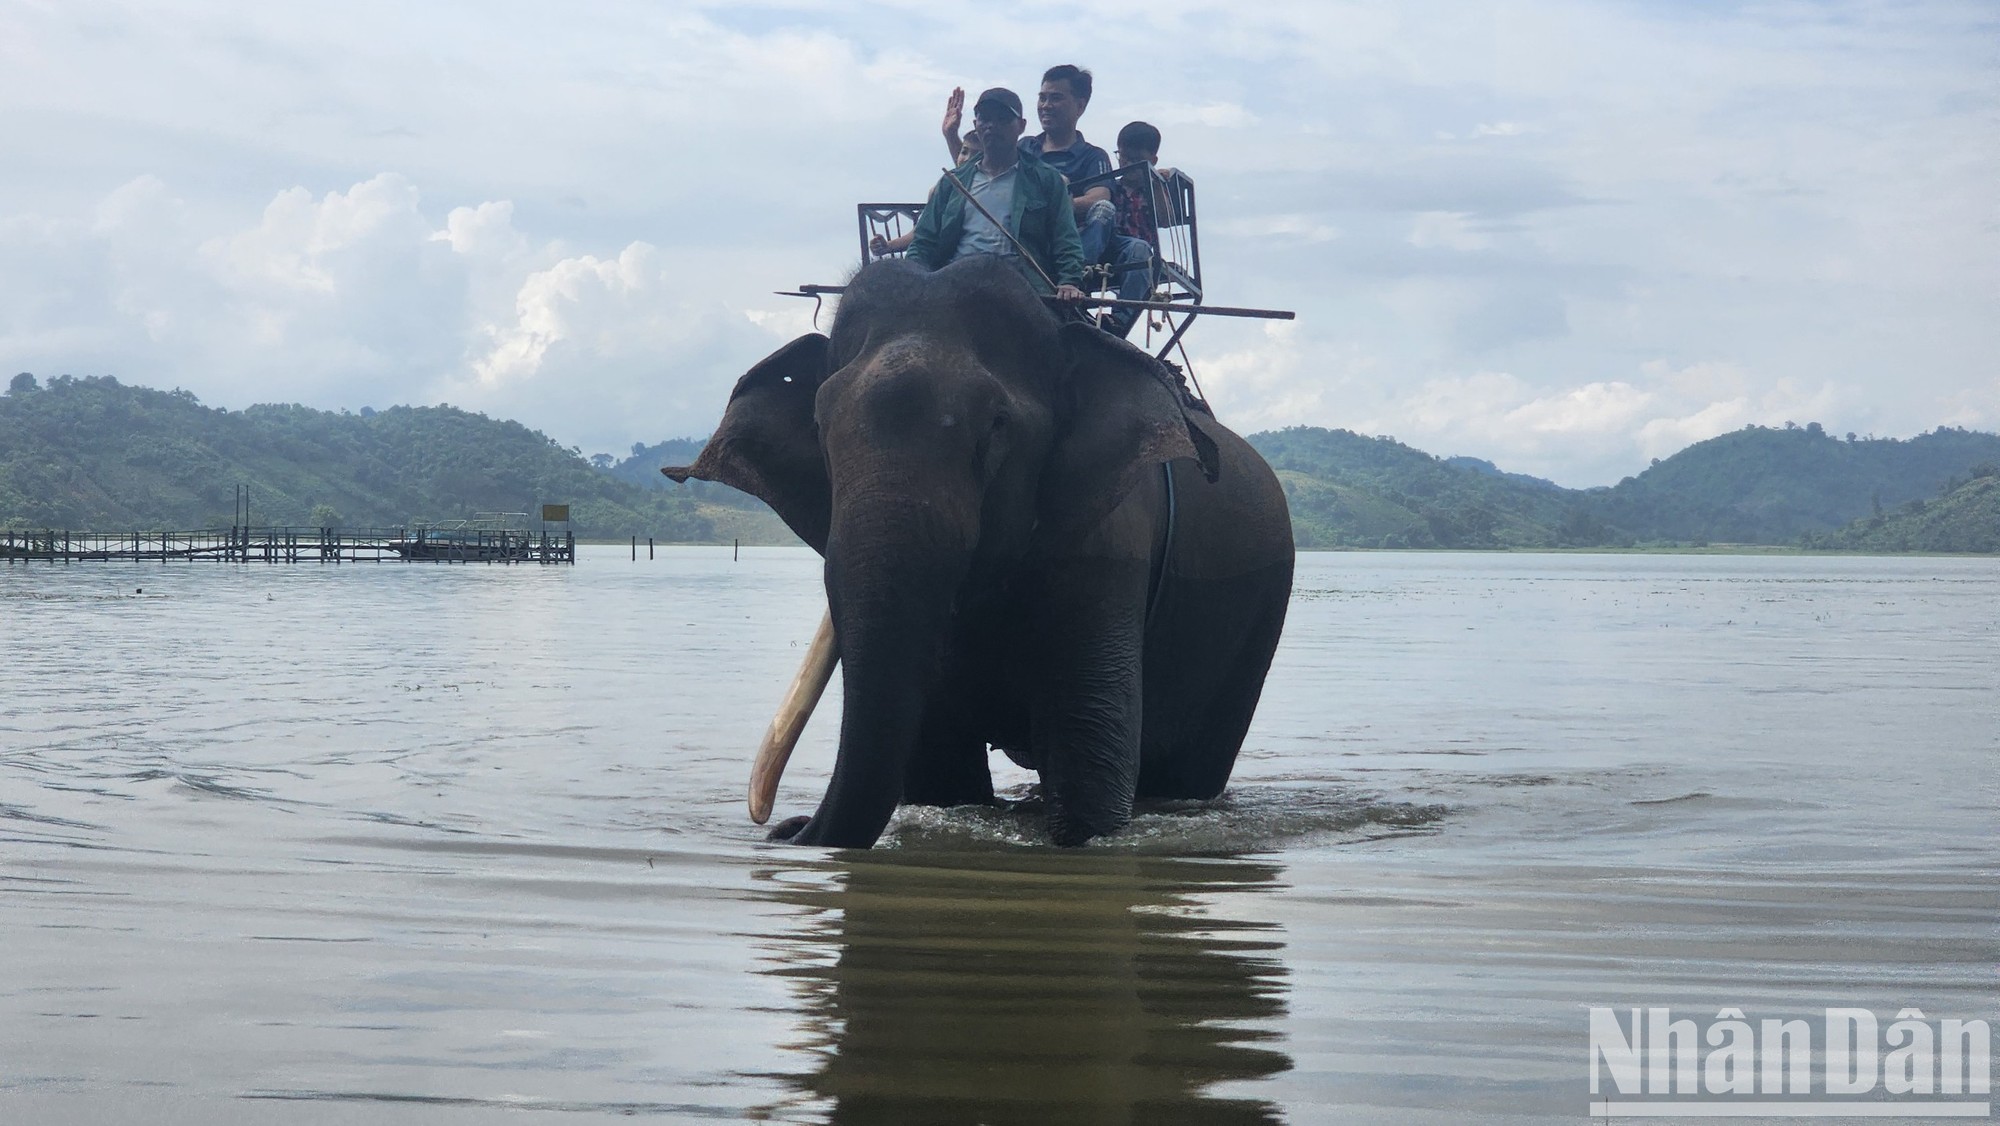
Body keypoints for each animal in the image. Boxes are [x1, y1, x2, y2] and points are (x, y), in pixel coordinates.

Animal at [668, 256, 1296, 852]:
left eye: (996, 427)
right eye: (820, 424)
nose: (785, 826)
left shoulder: (1110, 548)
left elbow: (1088, 772)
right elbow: (939, 769)